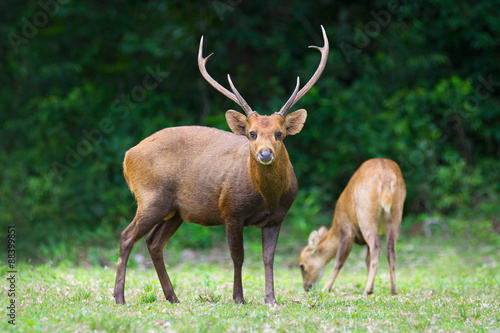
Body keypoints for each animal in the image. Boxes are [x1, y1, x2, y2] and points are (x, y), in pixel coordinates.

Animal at [114, 27, 330, 304]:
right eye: (251, 133)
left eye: (280, 133)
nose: (265, 154)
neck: (267, 197)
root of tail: (128, 156)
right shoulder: (231, 210)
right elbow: (238, 257)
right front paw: (238, 298)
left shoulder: (277, 217)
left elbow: (268, 259)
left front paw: (270, 298)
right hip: (151, 196)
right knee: (126, 236)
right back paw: (119, 297)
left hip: (176, 210)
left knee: (153, 242)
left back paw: (172, 297)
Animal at [298, 159, 404, 296]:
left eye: (302, 265)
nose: (306, 287)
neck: (336, 226)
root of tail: (385, 177)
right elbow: (367, 260)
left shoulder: (346, 229)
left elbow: (339, 260)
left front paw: (326, 288)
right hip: (396, 212)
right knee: (390, 248)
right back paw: (393, 290)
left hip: (365, 214)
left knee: (376, 246)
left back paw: (368, 290)